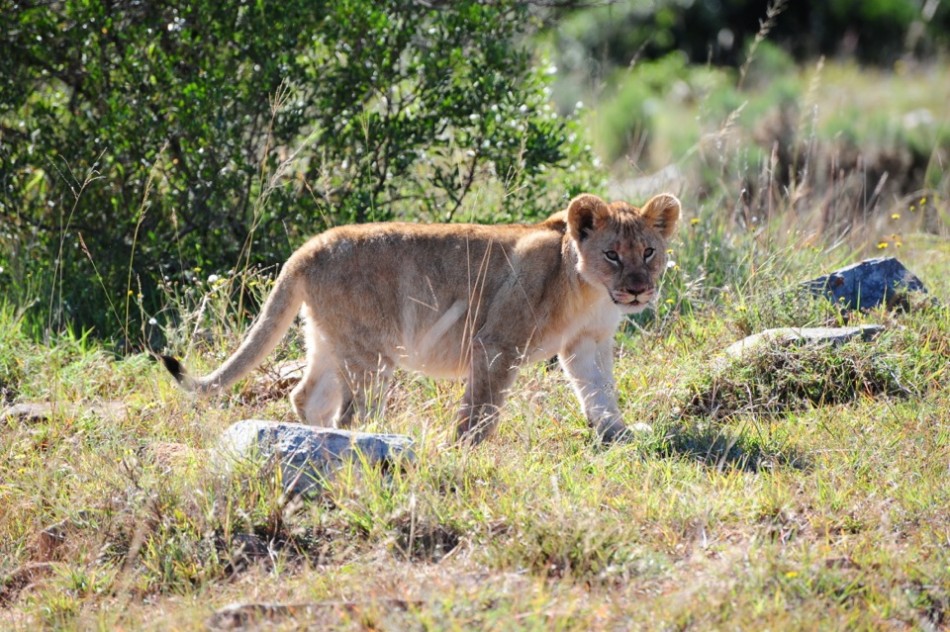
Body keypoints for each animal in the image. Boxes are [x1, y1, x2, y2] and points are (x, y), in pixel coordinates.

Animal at [161, 192, 681, 444]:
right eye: (612, 254)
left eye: (648, 252)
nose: (638, 289)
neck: (589, 291)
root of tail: (308, 247)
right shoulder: (497, 343)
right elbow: (483, 406)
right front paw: (468, 451)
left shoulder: (586, 343)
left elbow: (600, 392)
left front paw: (618, 435)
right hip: (372, 354)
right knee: (353, 414)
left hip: (331, 341)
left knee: (306, 395)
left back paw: (316, 440)